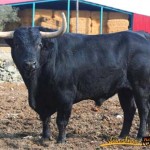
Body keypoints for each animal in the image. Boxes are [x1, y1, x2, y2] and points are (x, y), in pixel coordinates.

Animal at [2, 27, 150, 142]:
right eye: (17, 44)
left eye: (39, 44)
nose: (30, 64)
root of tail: (141, 35)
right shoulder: (42, 101)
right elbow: (45, 119)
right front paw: (45, 137)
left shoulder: (66, 96)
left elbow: (61, 120)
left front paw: (61, 140)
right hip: (125, 90)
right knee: (129, 110)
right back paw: (122, 136)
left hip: (141, 87)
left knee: (143, 111)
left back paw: (139, 136)